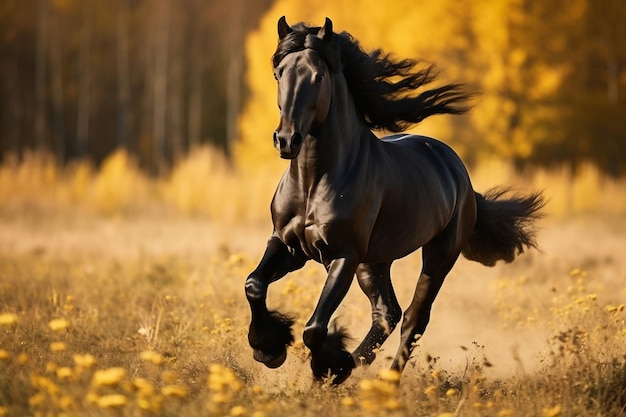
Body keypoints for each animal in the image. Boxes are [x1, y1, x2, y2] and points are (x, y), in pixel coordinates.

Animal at [244, 18, 540, 384]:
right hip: (375, 263)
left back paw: (382, 381)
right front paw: (268, 349)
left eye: (318, 76)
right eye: (278, 73)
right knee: (388, 312)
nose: (286, 140)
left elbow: (314, 328)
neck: (313, 183)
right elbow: (254, 284)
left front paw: (327, 366)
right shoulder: (288, 246)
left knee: (414, 318)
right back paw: (355, 365)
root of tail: (460, 174)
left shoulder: (344, 255)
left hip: (438, 256)